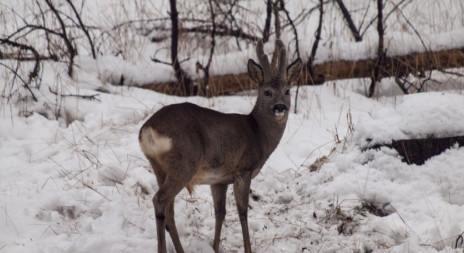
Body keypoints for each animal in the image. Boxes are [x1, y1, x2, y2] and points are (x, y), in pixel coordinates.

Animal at [140, 39, 302, 253]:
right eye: (267, 92)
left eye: (287, 91)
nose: (280, 107)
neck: (258, 134)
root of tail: (148, 129)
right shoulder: (243, 168)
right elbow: (242, 211)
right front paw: (248, 249)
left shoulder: (219, 180)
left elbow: (220, 212)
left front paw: (216, 247)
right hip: (185, 162)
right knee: (159, 201)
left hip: (159, 168)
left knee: (169, 210)